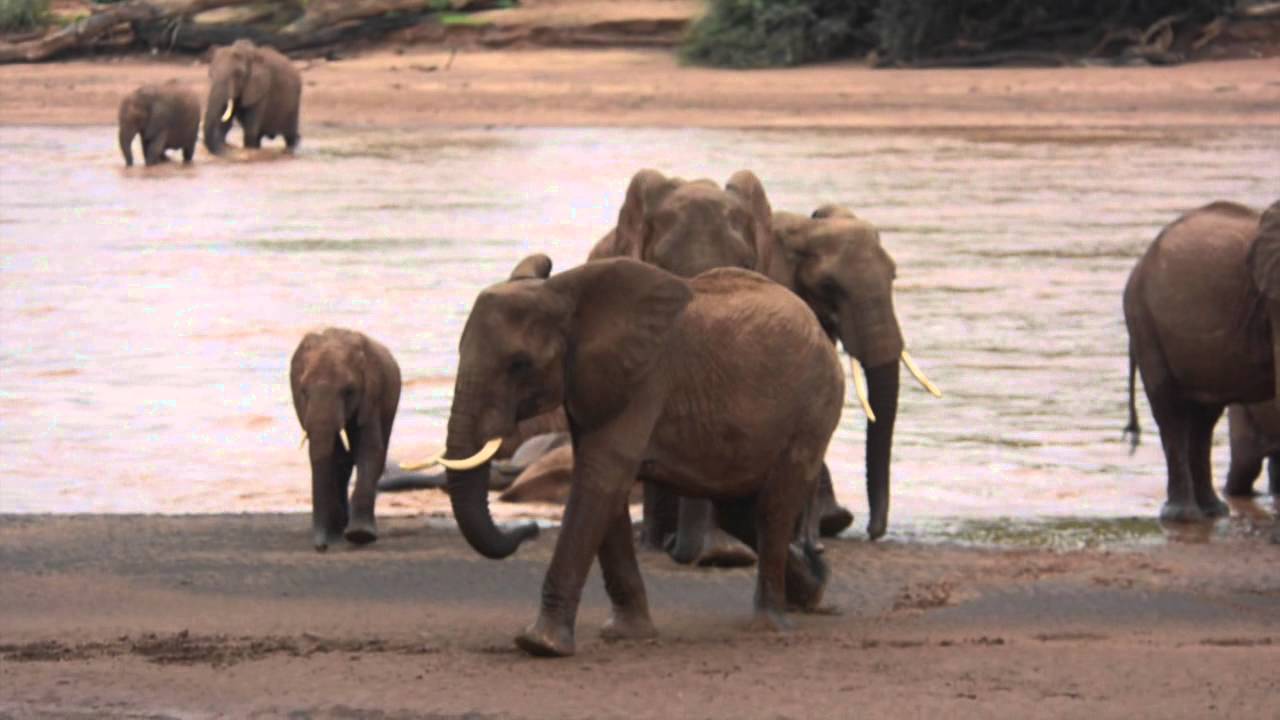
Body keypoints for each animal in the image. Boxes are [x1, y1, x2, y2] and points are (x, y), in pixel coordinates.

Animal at [291, 328, 401, 551]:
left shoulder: (372, 394)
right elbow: (334, 454)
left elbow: (369, 449)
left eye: (349, 391)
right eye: (303, 391)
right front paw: (339, 533)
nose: (321, 547)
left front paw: (360, 535)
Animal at [436, 256, 842, 657]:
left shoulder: (646, 380)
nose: (530, 529)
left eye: (519, 364)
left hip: (813, 408)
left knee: (774, 506)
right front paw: (627, 634)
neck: (565, 292)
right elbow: (603, 484)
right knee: (738, 511)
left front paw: (540, 645)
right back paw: (814, 593)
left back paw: (771, 624)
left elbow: (602, 477)